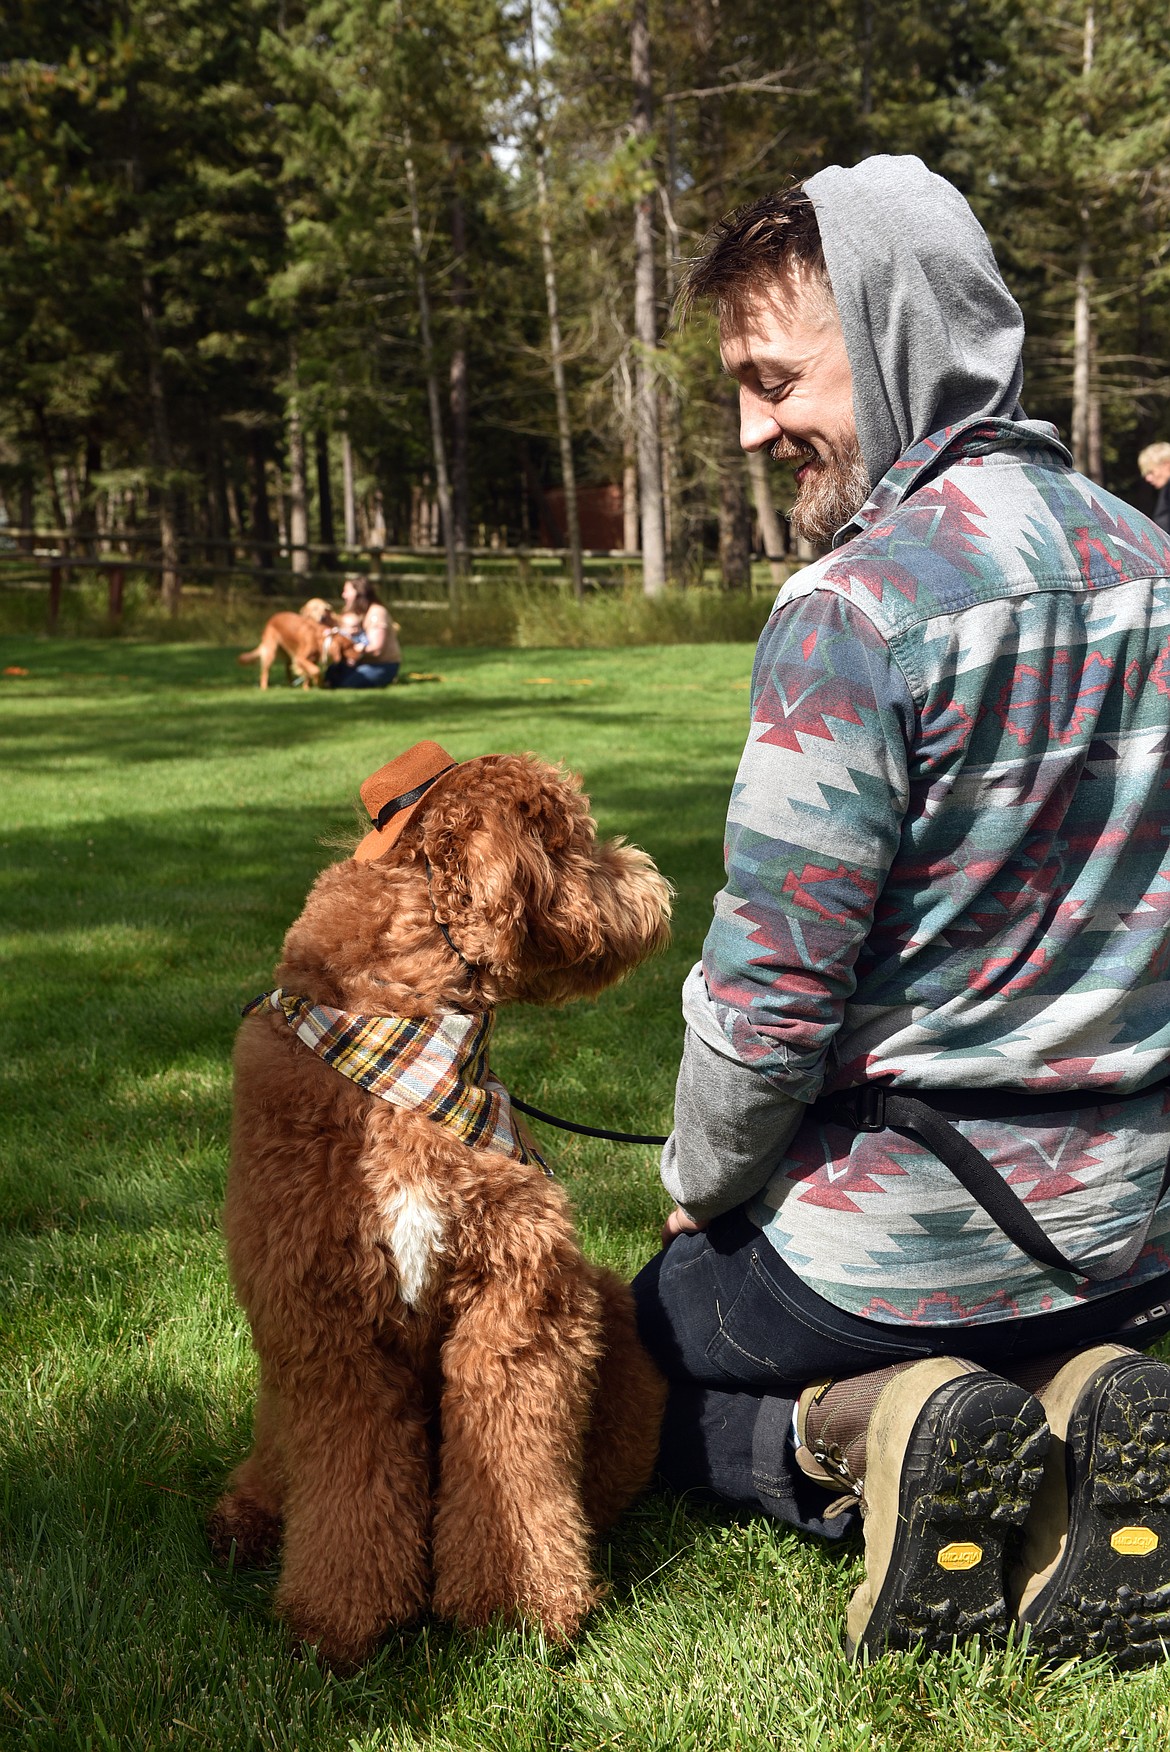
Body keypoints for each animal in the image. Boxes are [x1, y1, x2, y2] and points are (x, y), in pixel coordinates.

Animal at [205, 742, 672, 1667]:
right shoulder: (326, 1328)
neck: (401, 1034)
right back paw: (244, 1519)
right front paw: (342, 1618)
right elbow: (348, 1484)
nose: (659, 892)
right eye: (576, 844)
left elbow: (512, 1464)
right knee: (277, 1468)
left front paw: (515, 1607)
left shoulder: (520, 1303)